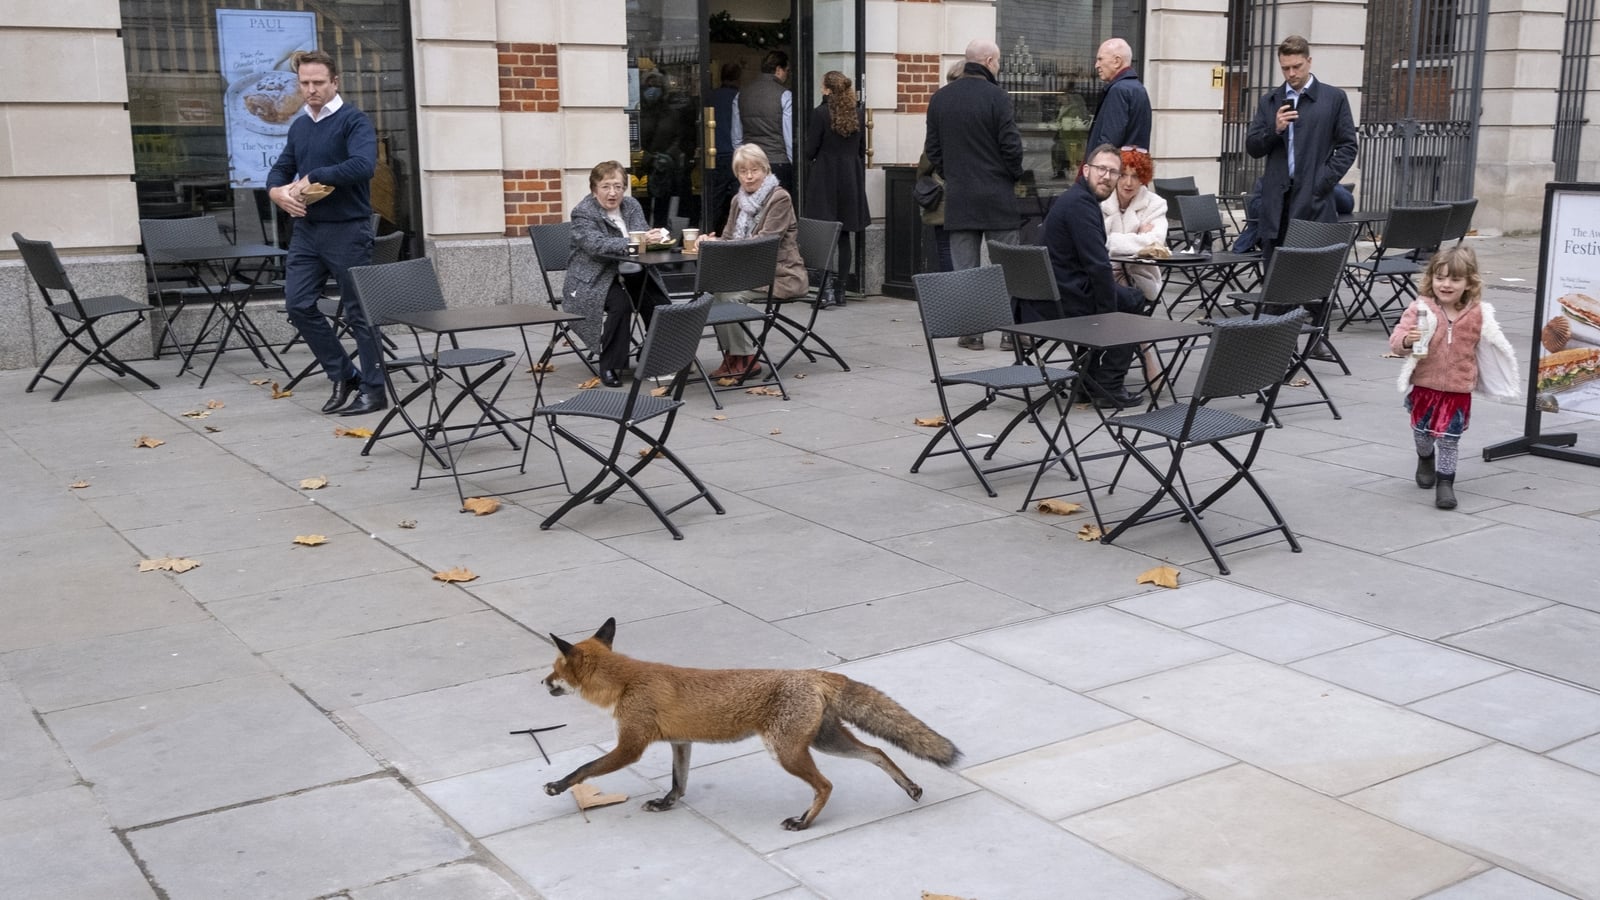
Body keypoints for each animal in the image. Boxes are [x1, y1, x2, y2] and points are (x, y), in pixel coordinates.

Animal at [540, 617, 962, 831]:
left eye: (555, 669)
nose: (543, 683)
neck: (626, 682)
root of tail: (815, 674)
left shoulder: (631, 745)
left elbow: (585, 768)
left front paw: (557, 785)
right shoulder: (681, 742)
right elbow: (679, 782)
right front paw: (666, 804)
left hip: (786, 752)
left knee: (826, 784)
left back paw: (804, 822)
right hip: (826, 741)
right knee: (876, 752)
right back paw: (910, 788)